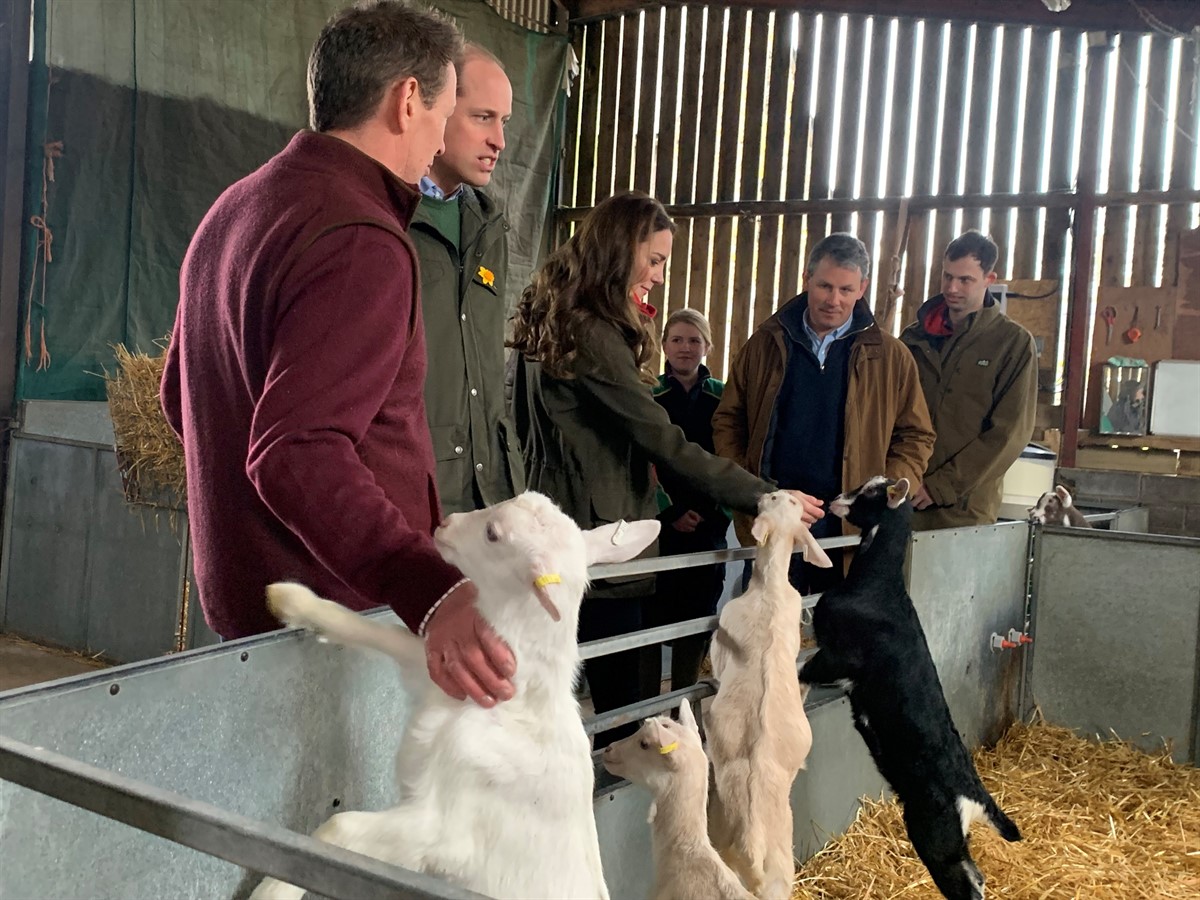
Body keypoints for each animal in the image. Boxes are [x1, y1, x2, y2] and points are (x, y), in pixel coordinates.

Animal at [249, 491, 660, 900]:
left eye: (493, 534)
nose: (444, 523)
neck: (516, 703)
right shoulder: (440, 669)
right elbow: (371, 630)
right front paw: (289, 599)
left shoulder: (443, 831)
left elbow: (340, 825)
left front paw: (271, 887)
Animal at [705, 490, 834, 900]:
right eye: (788, 501)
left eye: (775, 498)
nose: (764, 492)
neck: (772, 587)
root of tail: (754, 843)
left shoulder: (723, 633)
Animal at [798, 476, 1021, 900]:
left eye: (870, 492)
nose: (834, 500)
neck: (877, 587)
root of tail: (972, 793)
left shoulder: (837, 658)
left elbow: (802, 669)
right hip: (953, 841)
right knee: (977, 877)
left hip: (933, 835)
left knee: (965, 885)